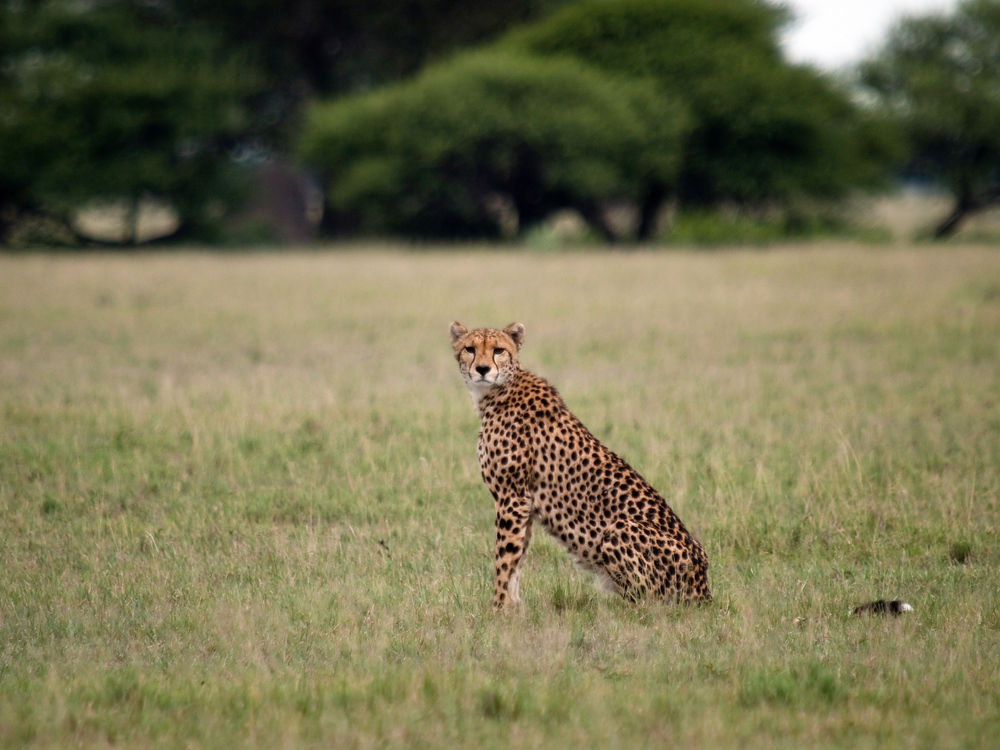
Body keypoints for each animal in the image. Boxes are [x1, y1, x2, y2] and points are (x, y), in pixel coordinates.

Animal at [454, 322, 712, 612]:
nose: (482, 369)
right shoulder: (524, 502)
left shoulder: (512, 497)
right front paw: (513, 606)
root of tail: (704, 589)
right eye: (470, 349)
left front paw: (498, 608)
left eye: (498, 350)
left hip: (619, 530)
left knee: (650, 604)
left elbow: (504, 558)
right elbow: (517, 557)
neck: (497, 392)